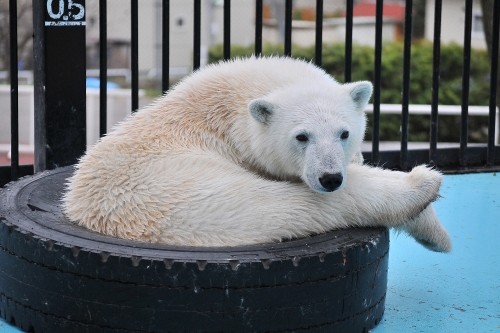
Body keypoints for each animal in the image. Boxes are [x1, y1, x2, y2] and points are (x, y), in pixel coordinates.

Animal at [61, 55, 450, 250]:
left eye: (345, 133)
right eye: (301, 137)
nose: (330, 177)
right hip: (177, 197)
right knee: (278, 206)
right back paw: (422, 188)